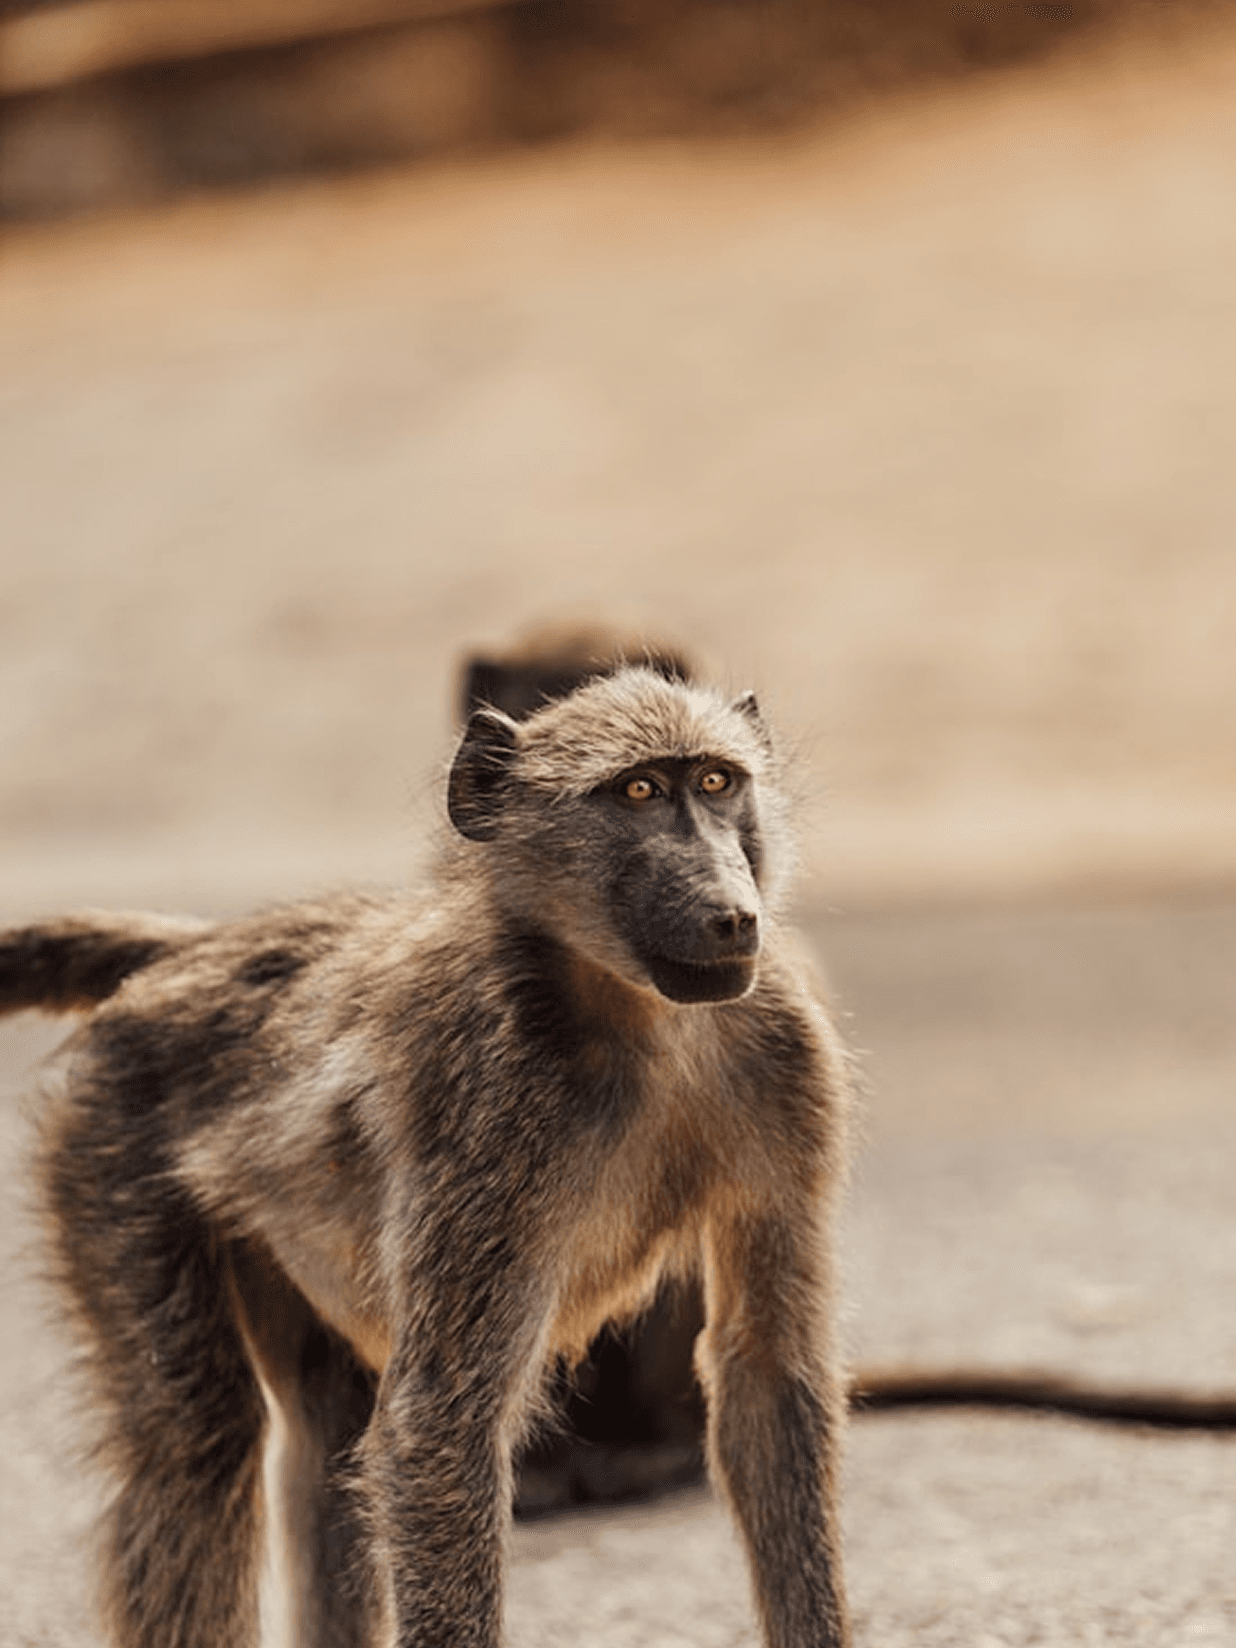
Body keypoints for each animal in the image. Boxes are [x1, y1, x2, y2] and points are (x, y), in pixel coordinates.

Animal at [2, 666, 853, 1648]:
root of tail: (194, 953)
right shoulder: (498, 1103)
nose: (730, 915)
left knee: (325, 1432)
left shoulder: (788, 1055)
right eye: (639, 793)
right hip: (114, 1142)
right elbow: (440, 1424)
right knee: (197, 1443)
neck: (642, 1015)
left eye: (716, 783)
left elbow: (766, 1376)